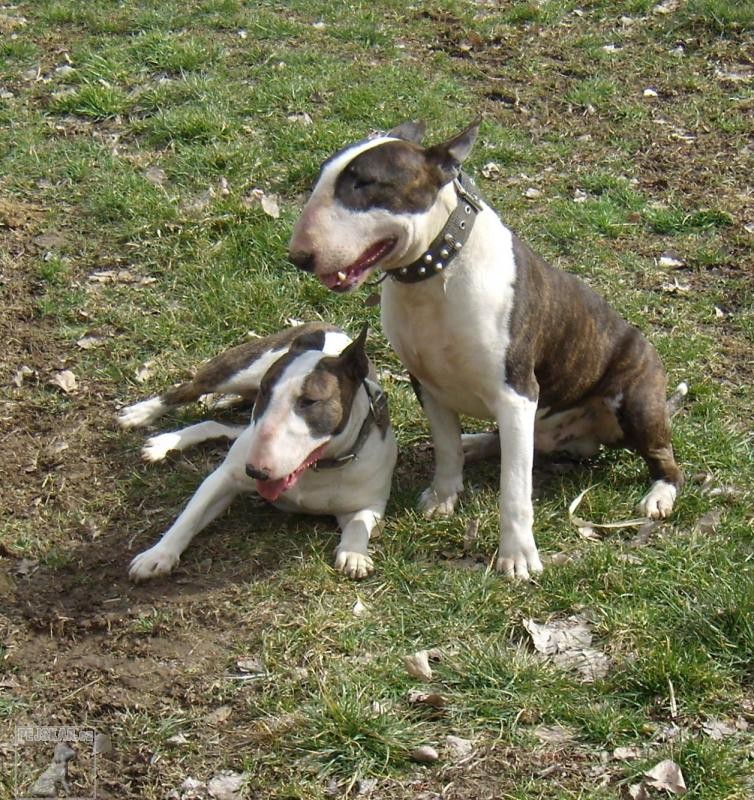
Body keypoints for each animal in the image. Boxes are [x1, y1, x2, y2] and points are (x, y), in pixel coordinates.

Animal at [117, 324, 396, 580]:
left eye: (309, 401)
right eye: (266, 390)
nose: (255, 471)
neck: (316, 469)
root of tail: (325, 326)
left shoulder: (370, 503)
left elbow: (359, 525)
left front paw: (354, 555)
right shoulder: (224, 477)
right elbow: (190, 515)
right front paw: (158, 555)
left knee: (216, 424)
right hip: (237, 372)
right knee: (188, 389)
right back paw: (142, 416)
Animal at [286, 122, 680, 580]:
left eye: (365, 183)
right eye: (321, 179)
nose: (299, 256)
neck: (435, 274)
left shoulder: (516, 394)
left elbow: (514, 488)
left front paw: (518, 556)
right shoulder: (427, 384)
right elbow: (445, 446)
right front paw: (443, 496)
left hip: (634, 404)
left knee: (665, 460)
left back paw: (659, 495)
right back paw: (475, 443)